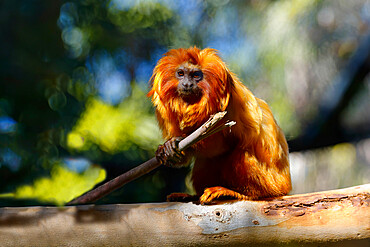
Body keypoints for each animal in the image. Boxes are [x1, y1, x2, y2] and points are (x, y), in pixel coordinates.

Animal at [147, 46, 292, 205]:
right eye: (180, 74)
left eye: (196, 75)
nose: (187, 84)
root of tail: (286, 183)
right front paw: (169, 147)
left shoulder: (228, 106)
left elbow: (219, 145)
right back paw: (192, 196)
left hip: (271, 181)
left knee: (240, 153)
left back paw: (237, 193)